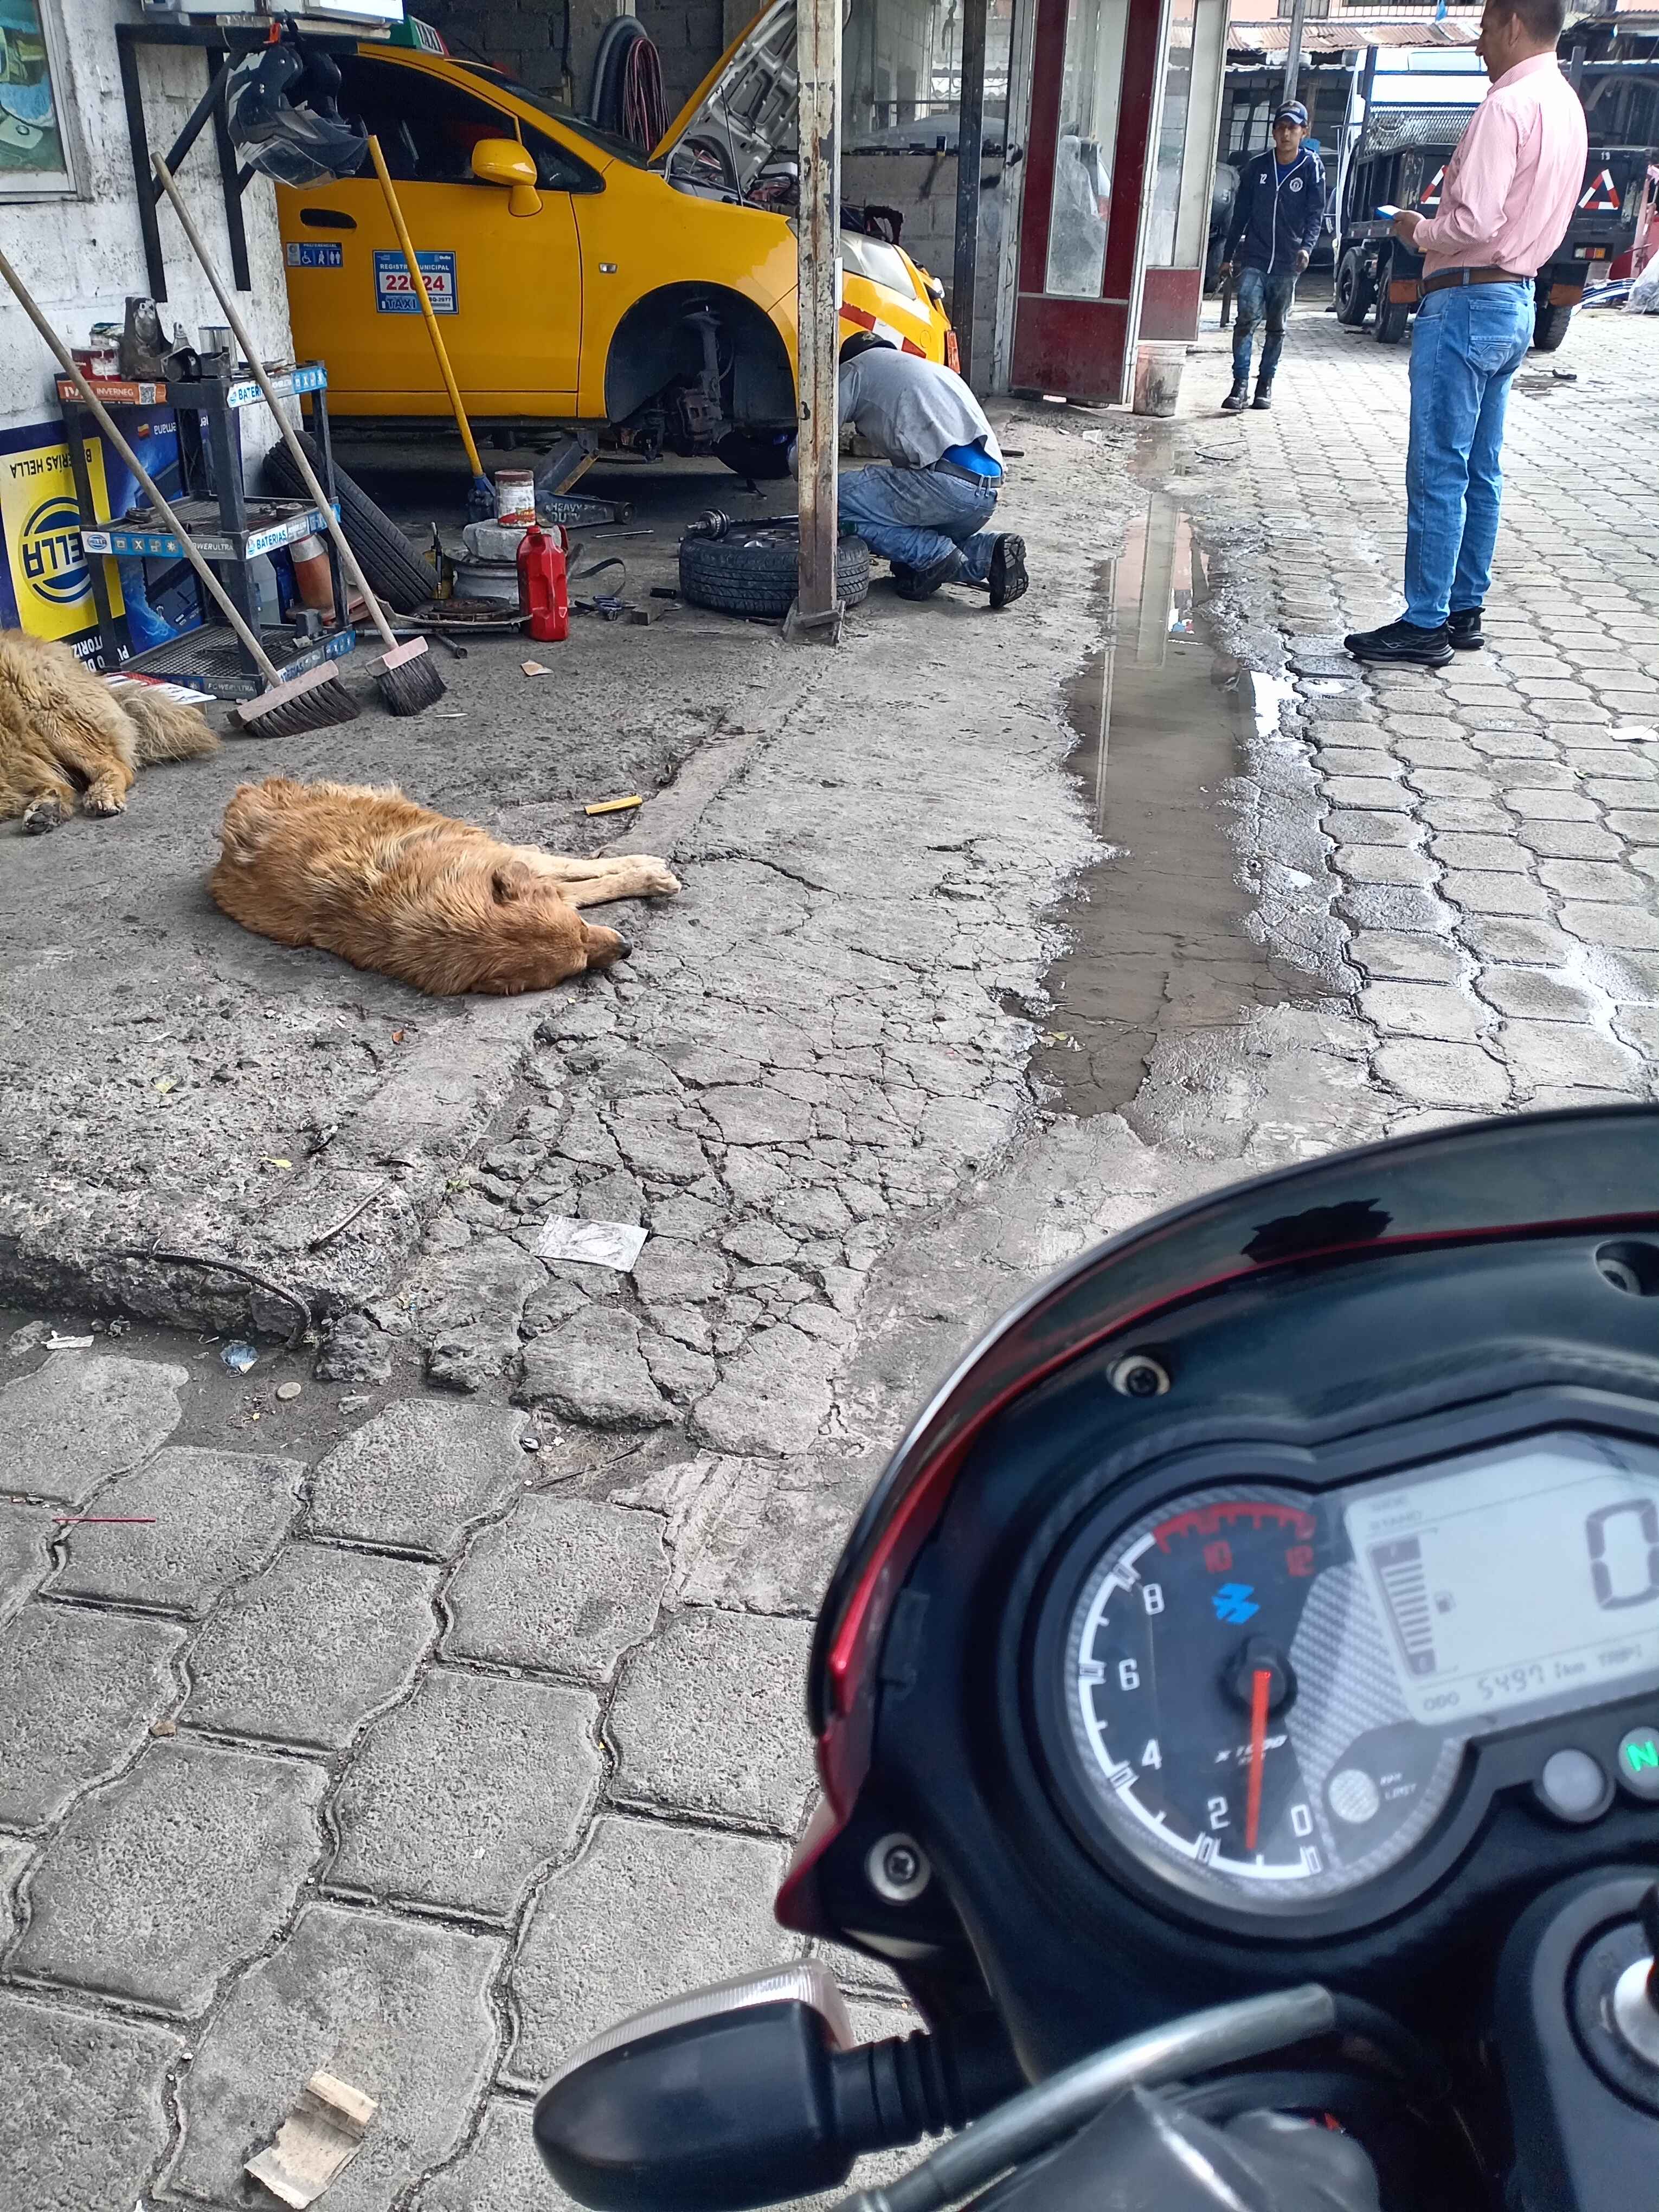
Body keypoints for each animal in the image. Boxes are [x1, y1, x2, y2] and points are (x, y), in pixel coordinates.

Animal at [210, 776, 681, 996]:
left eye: (583, 931)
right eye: (579, 963)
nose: (627, 949)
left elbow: (580, 867)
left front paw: (640, 865)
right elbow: (591, 883)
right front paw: (648, 875)